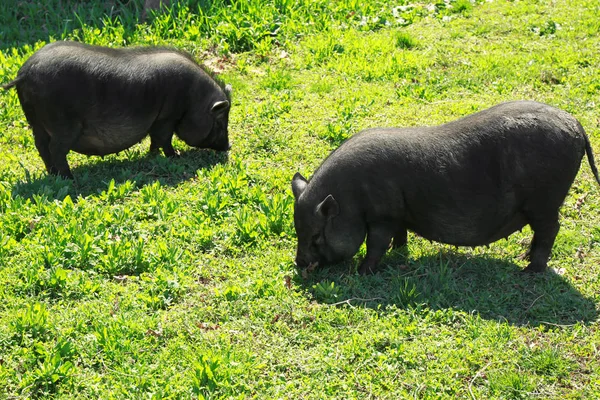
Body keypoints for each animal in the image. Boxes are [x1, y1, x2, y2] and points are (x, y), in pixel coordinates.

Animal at [1, 40, 232, 178]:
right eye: (221, 121)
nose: (229, 146)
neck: (193, 98)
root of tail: (24, 73)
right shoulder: (167, 117)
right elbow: (163, 138)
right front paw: (175, 156)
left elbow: (154, 140)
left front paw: (153, 156)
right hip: (62, 124)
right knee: (56, 149)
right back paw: (69, 177)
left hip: (35, 122)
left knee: (41, 147)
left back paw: (53, 174)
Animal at [292, 101, 600, 276]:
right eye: (298, 230)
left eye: (316, 235)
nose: (299, 264)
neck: (351, 199)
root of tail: (575, 124)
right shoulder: (399, 214)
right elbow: (400, 236)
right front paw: (399, 252)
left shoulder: (383, 215)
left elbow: (376, 244)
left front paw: (362, 272)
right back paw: (523, 257)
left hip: (545, 201)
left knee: (551, 230)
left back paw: (529, 272)